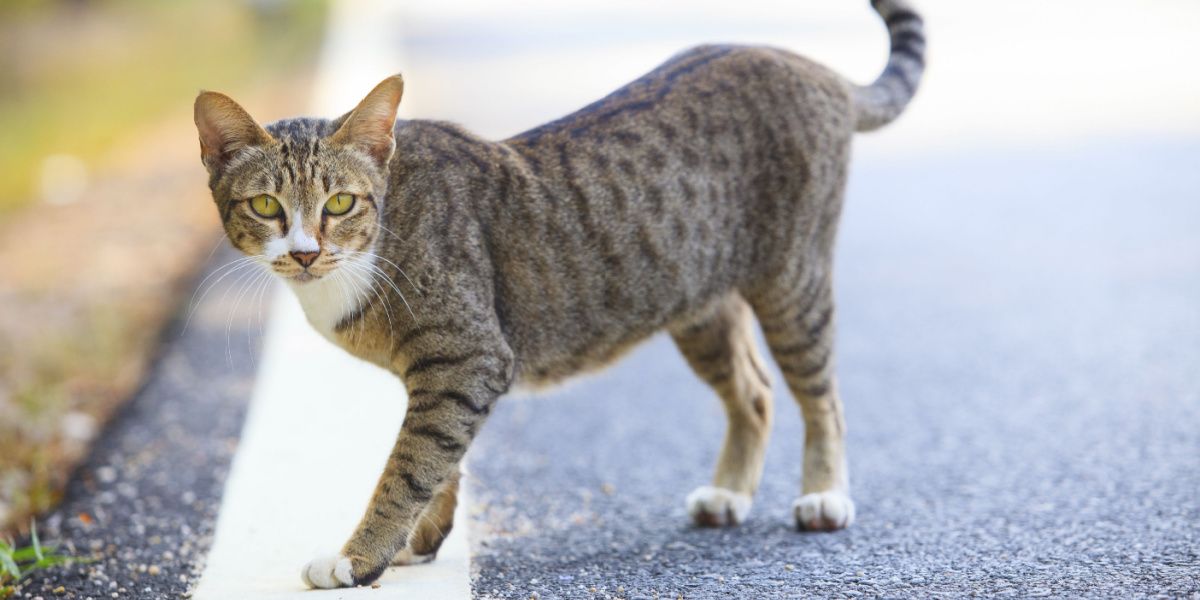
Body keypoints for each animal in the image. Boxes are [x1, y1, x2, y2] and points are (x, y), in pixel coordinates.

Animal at [194, 0, 926, 590]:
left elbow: (409, 466)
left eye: (341, 203)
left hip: (792, 280)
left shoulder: (468, 358)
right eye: (266, 205)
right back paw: (729, 492)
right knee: (754, 390)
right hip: (698, 303)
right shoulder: (442, 374)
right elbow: (439, 461)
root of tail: (815, 68)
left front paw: (359, 558)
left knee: (821, 394)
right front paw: (417, 543)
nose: (304, 251)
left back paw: (825, 495)